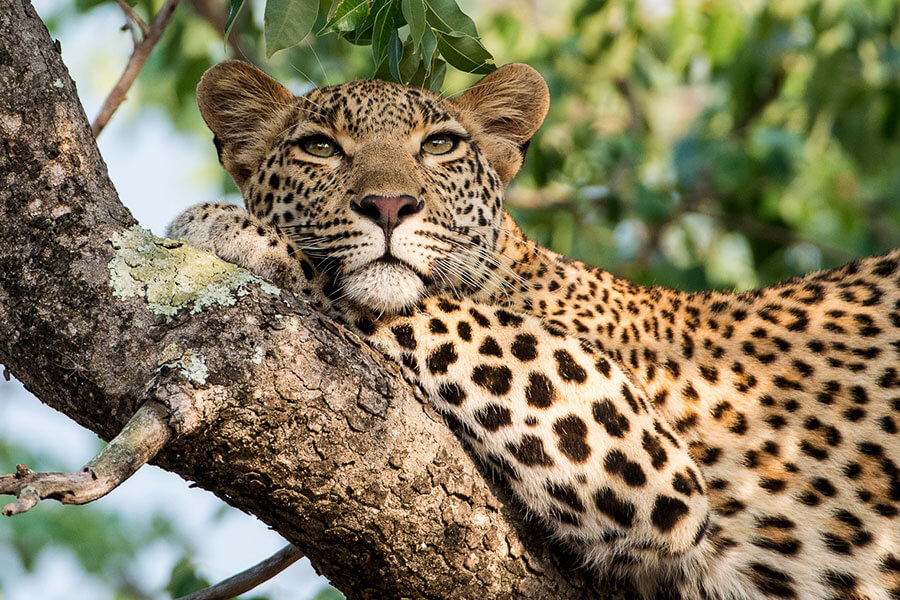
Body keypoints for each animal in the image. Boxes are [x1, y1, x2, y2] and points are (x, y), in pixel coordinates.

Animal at [167, 59, 900, 600]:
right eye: (319, 147)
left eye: (439, 145)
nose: (389, 206)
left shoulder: (642, 455)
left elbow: (407, 303)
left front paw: (229, 229)